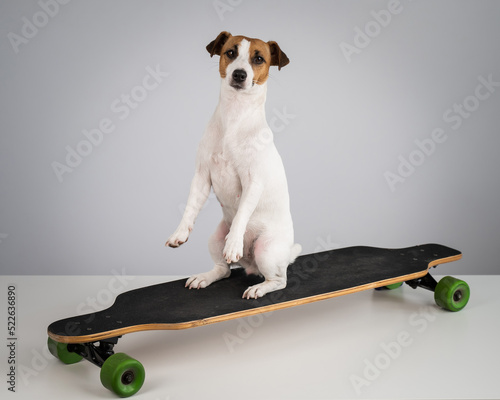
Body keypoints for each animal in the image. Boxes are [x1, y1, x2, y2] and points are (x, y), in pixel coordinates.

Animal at [167, 31, 300, 298]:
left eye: (258, 58)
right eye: (230, 52)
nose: (240, 74)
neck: (234, 117)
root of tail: (250, 264)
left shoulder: (253, 182)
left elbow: (241, 215)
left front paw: (234, 243)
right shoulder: (201, 176)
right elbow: (190, 208)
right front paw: (180, 233)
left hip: (266, 250)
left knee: (279, 280)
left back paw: (259, 287)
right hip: (215, 239)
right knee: (224, 270)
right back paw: (205, 277)